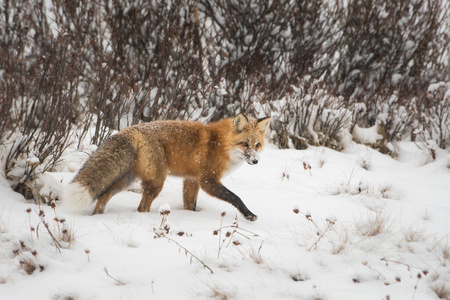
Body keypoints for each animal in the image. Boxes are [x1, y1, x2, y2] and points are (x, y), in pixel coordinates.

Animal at [62, 113, 270, 221]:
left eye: (257, 145)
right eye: (245, 144)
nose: (255, 161)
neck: (220, 144)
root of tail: (130, 129)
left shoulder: (191, 180)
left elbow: (190, 205)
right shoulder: (208, 180)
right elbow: (235, 197)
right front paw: (249, 214)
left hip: (128, 179)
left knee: (104, 195)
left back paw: (97, 217)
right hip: (156, 182)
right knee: (141, 207)